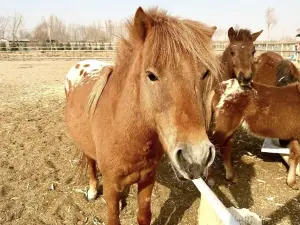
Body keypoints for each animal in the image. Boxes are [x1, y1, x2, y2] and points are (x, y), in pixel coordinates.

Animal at [65, 7, 220, 225]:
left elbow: (144, 215)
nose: (196, 157)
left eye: (205, 73)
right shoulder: (111, 185)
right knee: (90, 161)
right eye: (151, 75)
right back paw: (93, 190)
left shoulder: (147, 178)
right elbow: (113, 218)